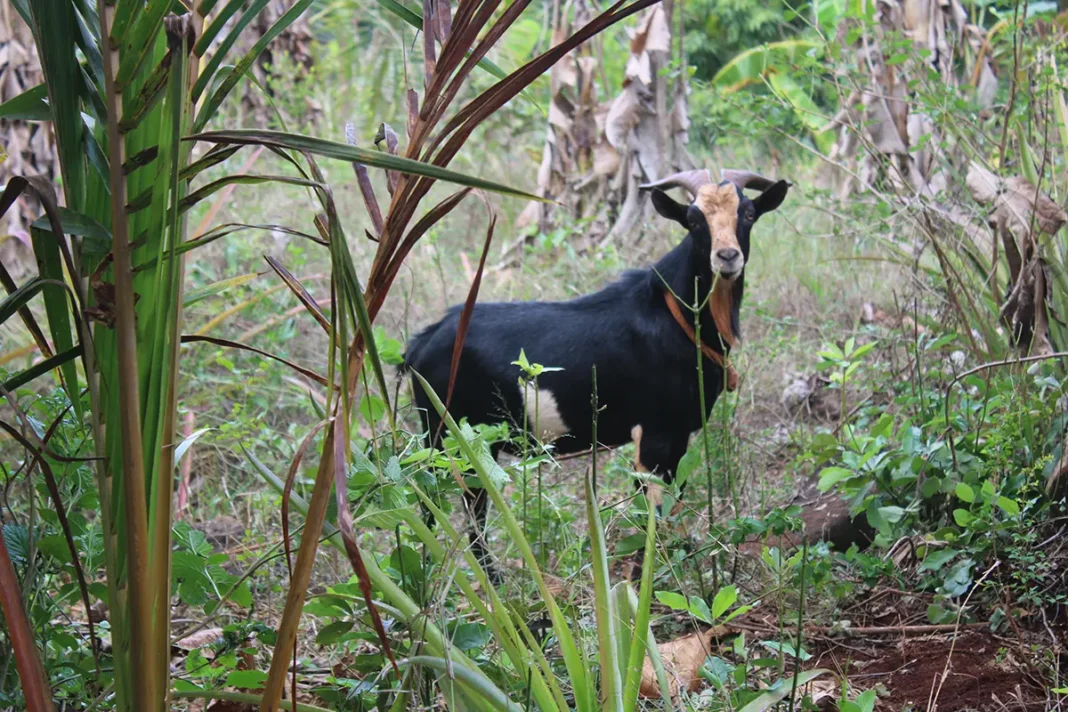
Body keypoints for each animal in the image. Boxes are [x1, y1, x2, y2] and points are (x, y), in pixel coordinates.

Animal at [403, 168, 790, 572]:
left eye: (748, 214)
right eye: (694, 219)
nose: (727, 257)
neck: (677, 315)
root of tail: (422, 342)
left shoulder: (680, 434)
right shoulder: (655, 432)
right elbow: (651, 508)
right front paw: (644, 576)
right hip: (443, 432)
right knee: (439, 499)